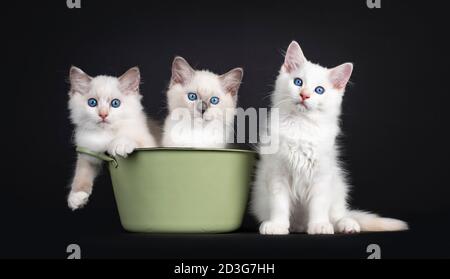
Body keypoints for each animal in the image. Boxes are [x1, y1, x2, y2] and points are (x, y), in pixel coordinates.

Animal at [66, 66, 157, 210]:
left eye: (115, 103)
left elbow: (129, 139)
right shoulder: (88, 152)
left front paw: (120, 145)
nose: (103, 115)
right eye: (92, 103)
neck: (105, 135)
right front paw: (76, 196)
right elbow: (81, 171)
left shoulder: (148, 143)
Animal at [251, 41, 410, 234]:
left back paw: (347, 224)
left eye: (319, 90)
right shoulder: (277, 174)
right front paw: (277, 225)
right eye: (298, 82)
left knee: (338, 215)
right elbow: (279, 204)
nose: (304, 95)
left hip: (338, 186)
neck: (301, 125)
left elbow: (319, 206)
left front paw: (319, 225)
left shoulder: (322, 176)